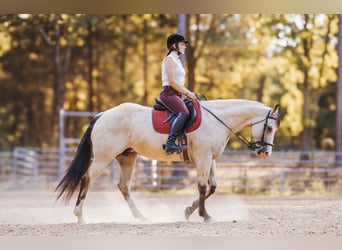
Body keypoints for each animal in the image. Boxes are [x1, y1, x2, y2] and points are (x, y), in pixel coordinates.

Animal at [55, 97, 280, 223]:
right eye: (269, 128)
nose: (265, 153)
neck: (218, 120)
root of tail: (102, 115)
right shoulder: (204, 157)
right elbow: (202, 187)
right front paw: (204, 215)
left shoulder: (211, 158)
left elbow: (213, 187)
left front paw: (189, 210)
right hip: (103, 157)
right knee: (87, 180)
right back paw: (80, 216)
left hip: (127, 158)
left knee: (124, 187)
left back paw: (141, 216)